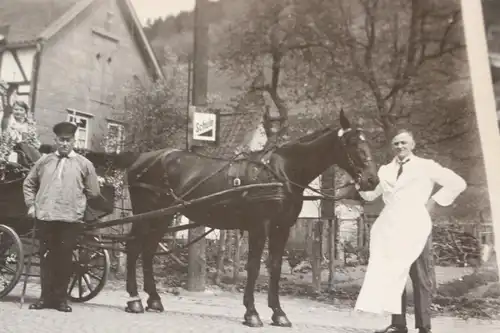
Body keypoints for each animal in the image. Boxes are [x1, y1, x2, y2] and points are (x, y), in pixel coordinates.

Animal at [87, 111, 378, 326]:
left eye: (368, 142)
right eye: (352, 143)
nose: (371, 179)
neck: (283, 172)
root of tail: (142, 157)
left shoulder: (282, 228)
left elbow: (274, 267)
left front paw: (278, 313)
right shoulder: (260, 227)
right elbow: (253, 267)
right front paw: (252, 313)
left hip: (164, 217)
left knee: (146, 252)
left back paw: (154, 299)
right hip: (146, 215)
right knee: (134, 247)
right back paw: (134, 299)